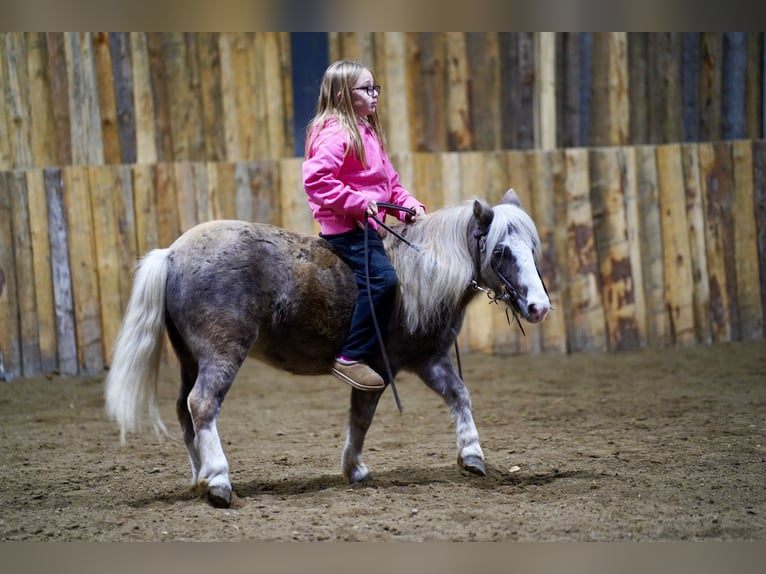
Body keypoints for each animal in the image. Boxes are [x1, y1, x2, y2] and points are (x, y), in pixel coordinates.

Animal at [104, 189, 550, 508]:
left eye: (531, 248)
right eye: (500, 251)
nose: (539, 307)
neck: (420, 273)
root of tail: (172, 254)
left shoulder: (430, 360)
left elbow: (459, 396)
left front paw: (472, 454)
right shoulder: (378, 368)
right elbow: (362, 417)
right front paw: (354, 468)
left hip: (189, 359)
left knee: (184, 411)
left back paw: (200, 477)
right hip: (221, 354)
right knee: (202, 404)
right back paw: (217, 479)